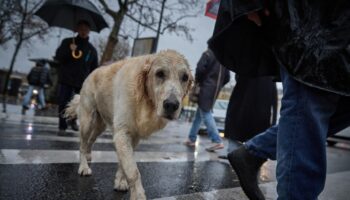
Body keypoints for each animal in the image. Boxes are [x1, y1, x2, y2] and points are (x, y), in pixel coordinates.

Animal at [64, 49, 193, 198]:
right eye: (160, 73)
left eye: (185, 77)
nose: (171, 105)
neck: (144, 99)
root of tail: (93, 72)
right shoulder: (122, 133)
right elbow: (133, 170)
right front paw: (138, 195)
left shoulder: (132, 136)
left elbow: (124, 164)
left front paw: (120, 181)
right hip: (87, 121)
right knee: (82, 144)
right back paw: (84, 166)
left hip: (100, 126)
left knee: (90, 141)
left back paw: (89, 156)